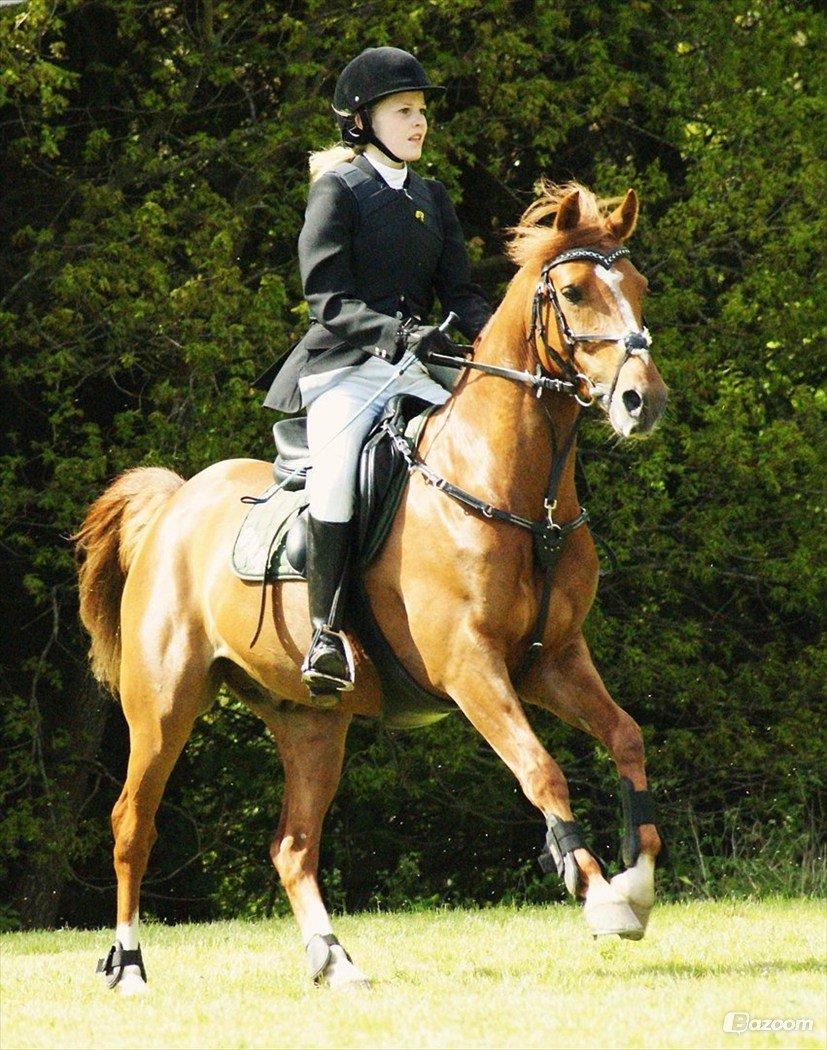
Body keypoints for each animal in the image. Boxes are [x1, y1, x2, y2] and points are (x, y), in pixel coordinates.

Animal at [74, 182, 667, 993]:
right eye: (574, 292)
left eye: (637, 287)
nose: (643, 400)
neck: (520, 497)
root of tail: (174, 503)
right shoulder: (470, 668)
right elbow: (541, 771)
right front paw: (601, 895)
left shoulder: (551, 662)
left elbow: (626, 736)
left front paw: (636, 880)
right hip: (163, 705)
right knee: (133, 824)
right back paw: (128, 965)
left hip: (311, 722)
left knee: (292, 846)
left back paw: (335, 961)